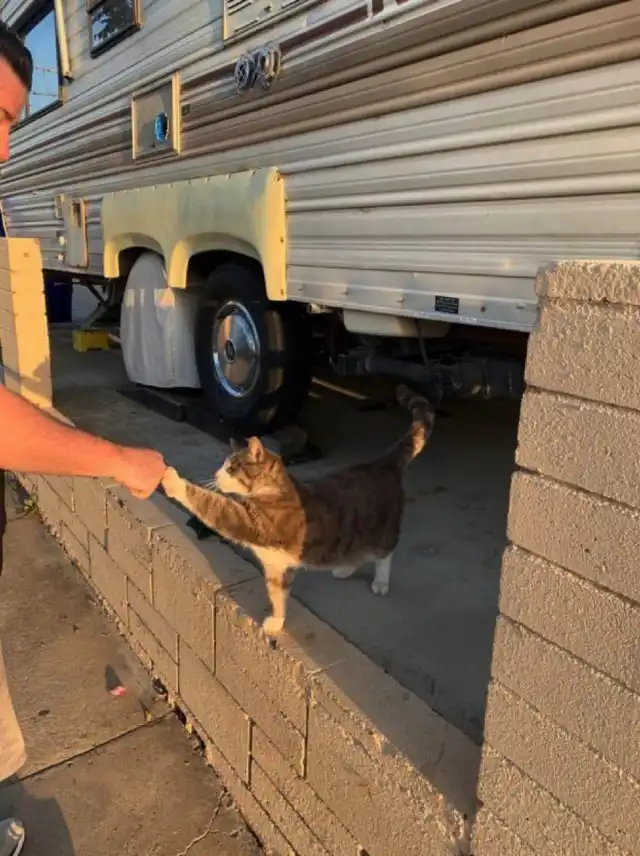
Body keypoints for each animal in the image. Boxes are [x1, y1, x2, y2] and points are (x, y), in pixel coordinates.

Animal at [161, 384, 435, 637]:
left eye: (231, 468)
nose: (216, 474)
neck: (271, 490)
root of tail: (383, 462)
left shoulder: (250, 522)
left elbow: (213, 505)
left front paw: (173, 481)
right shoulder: (276, 567)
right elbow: (277, 594)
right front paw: (276, 620)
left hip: (382, 530)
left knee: (384, 554)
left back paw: (380, 581)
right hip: (351, 537)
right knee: (356, 553)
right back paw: (344, 569)